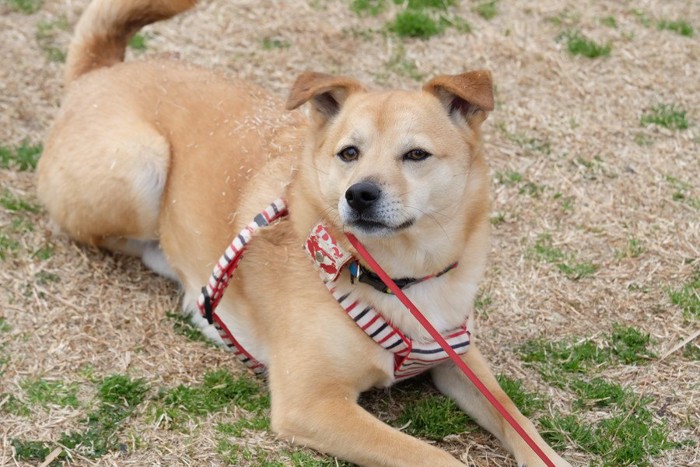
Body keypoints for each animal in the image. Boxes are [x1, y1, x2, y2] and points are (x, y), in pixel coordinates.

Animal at [37, 0, 568, 467]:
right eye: (349, 153)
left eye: (416, 155)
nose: (359, 195)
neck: (397, 276)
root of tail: (99, 73)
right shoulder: (313, 404)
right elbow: (433, 456)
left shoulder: (456, 354)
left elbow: (519, 421)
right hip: (138, 164)